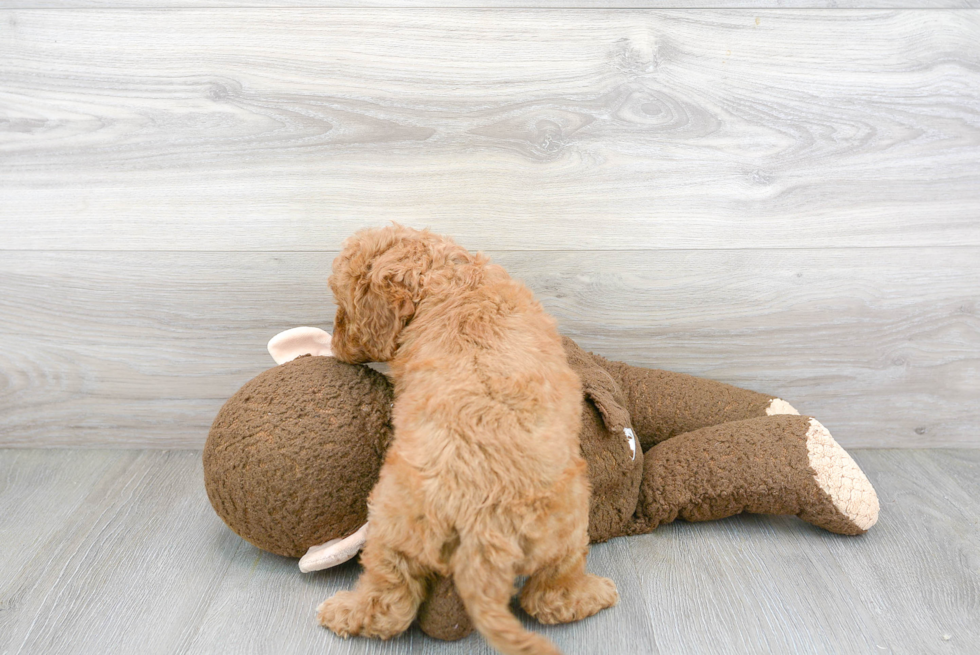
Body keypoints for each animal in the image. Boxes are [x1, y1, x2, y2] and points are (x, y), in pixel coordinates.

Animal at [318, 227, 616, 655]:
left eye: (343, 303)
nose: (335, 344)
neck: (449, 277)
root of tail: (483, 529)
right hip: (568, 519)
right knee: (550, 596)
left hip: (392, 523)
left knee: (391, 601)